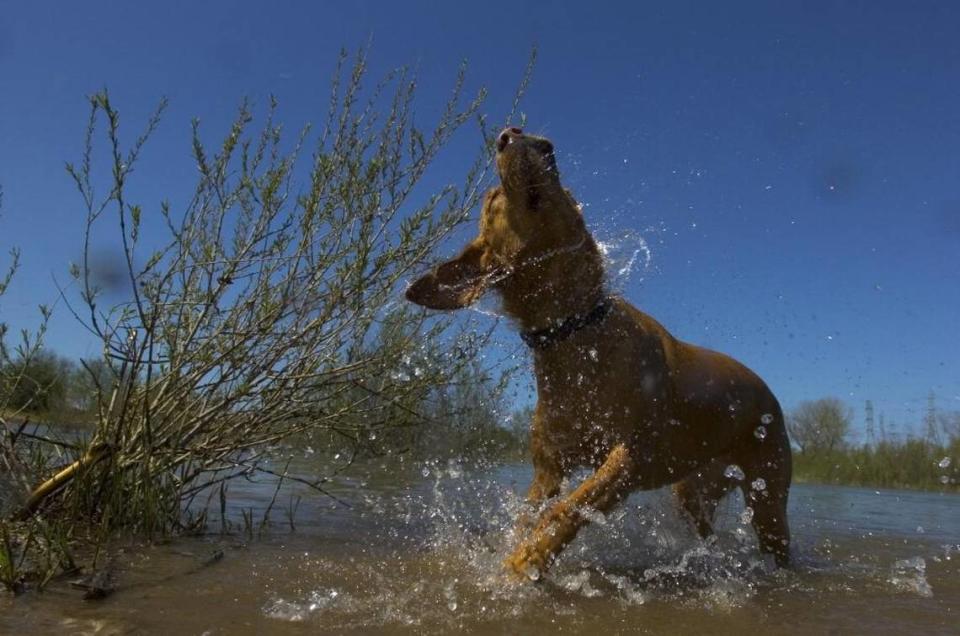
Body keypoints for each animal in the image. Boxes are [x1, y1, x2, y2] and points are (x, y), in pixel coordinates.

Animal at [404, 126, 788, 580]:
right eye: (494, 198)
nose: (510, 132)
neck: (574, 334)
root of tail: (767, 391)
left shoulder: (632, 457)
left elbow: (571, 508)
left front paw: (524, 563)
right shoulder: (549, 468)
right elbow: (529, 515)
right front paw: (514, 553)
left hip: (768, 495)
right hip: (693, 490)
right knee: (705, 529)